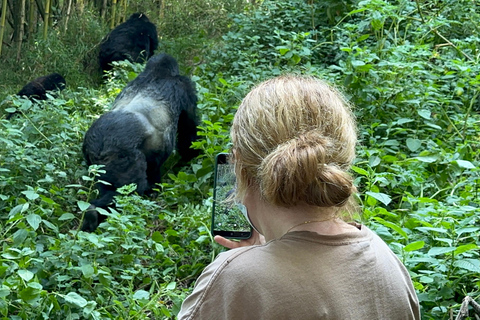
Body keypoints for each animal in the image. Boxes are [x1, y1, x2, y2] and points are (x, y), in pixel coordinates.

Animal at [81, 53, 198, 231]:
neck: (157, 73)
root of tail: (102, 146)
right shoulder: (185, 88)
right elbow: (189, 133)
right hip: (124, 156)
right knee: (129, 191)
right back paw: (94, 212)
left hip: (94, 160)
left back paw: (91, 215)